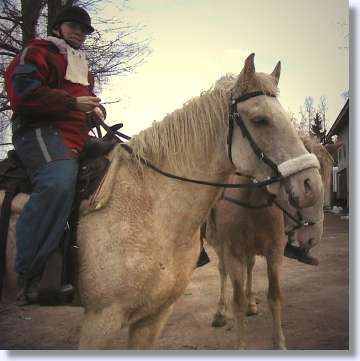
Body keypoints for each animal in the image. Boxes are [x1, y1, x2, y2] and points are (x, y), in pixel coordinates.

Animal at [204, 138, 334, 348]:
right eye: (305, 189)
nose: (312, 237)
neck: (251, 200)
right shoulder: (231, 251)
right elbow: (236, 300)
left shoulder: (274, 252)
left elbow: (274, 297)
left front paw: (279, 343)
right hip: (219, 245)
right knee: (223, 271)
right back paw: (220, 312)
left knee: (249, 266)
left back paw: (251, 303)